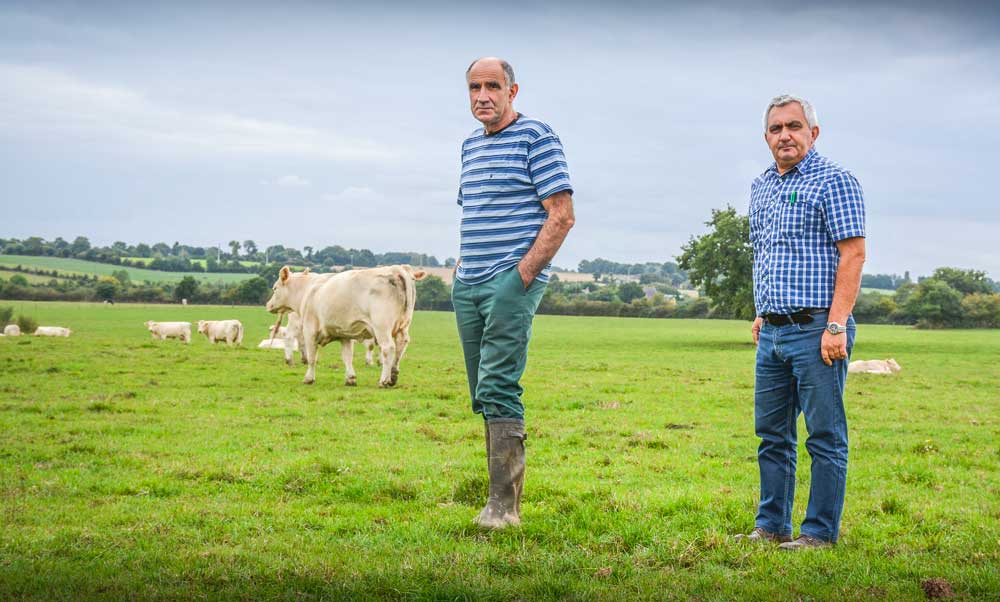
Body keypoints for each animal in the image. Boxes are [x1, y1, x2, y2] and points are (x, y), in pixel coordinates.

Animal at [264, 264, 424, 386]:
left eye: (274, 288)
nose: (268, 305)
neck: (308, 290)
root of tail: (396, 269)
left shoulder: (310, 330)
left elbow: (312, 357)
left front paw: (309, 378)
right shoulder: (345, 334)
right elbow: (347, 356)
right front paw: (350, 379)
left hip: (382, 327)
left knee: (388, 348)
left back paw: (384, 380)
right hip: (403, 326)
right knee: (401, 345)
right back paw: (393, 375)